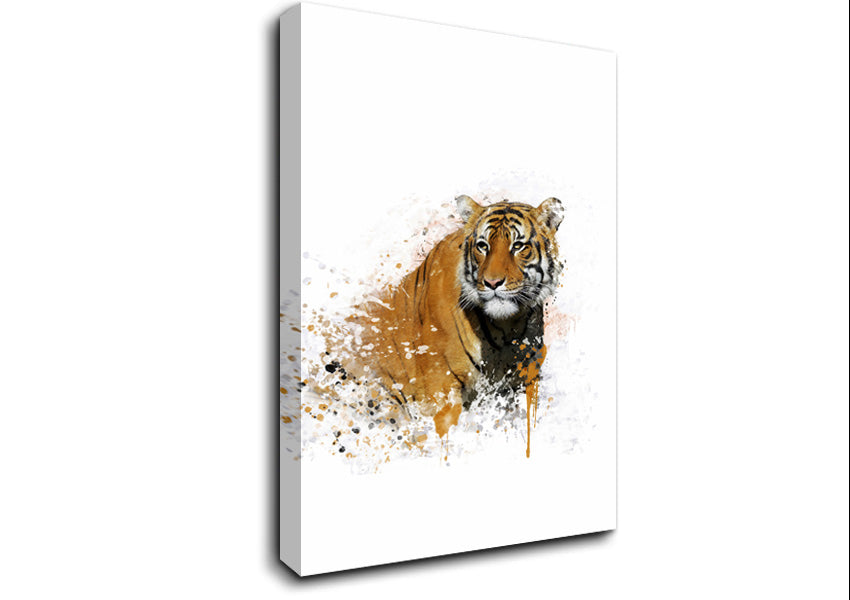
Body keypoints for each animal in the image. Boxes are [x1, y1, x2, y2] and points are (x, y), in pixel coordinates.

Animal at [331, 194, 565, 448]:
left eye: (518, 246)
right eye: (483, 246)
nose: (492, 283)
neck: (505, 328)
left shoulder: (520, 385)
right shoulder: (440, 391)